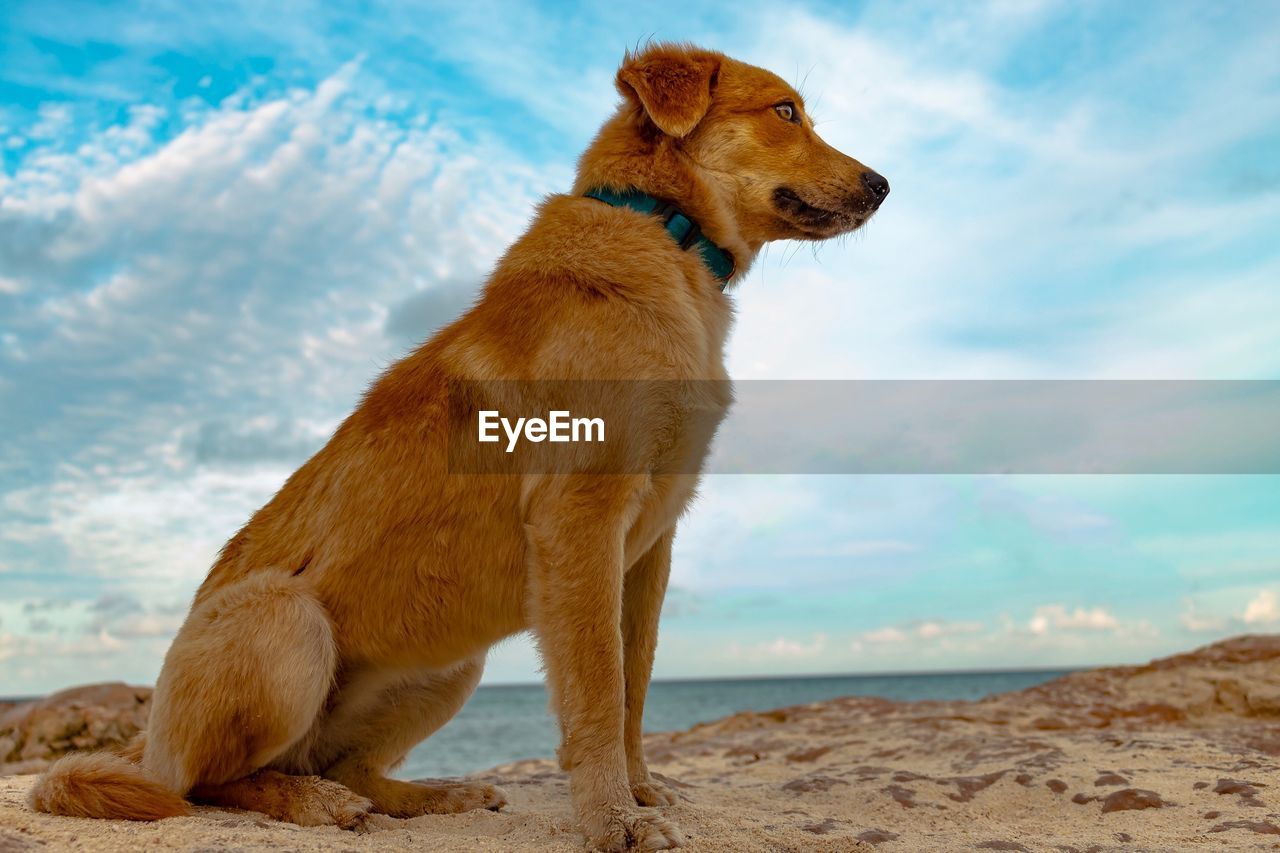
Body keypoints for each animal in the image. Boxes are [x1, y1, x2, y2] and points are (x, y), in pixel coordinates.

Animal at [32, 41, 890, 850]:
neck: (663, 234)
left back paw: (429, 793)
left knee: (341, 763)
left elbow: (634, 685)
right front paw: (615, 819)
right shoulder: (582, 519)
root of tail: (146, 743)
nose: (883, 184)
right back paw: (308, 803)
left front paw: (642, 792)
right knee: (210, 781)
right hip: (284, 617)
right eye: (785, 112)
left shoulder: (649, 547)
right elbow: (598, 692)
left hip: (452, 663)